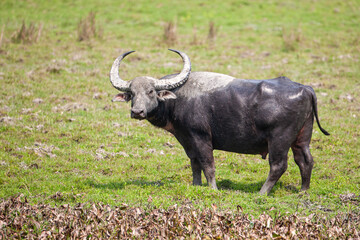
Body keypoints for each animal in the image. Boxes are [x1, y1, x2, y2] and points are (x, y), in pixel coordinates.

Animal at [109, 49, 330, 194]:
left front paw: (213, 189)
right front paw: (196, 186)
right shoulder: (188, 140)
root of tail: (305, 88)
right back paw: (303, 191)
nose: (137, 111)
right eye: (132, 93)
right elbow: (195, 164)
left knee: (278, 165)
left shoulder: (201, 138)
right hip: (302, 137)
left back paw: (262, 192)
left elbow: (208, 164)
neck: (179, 97)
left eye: (151, 91)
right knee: (305, 160)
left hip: (279, 140)